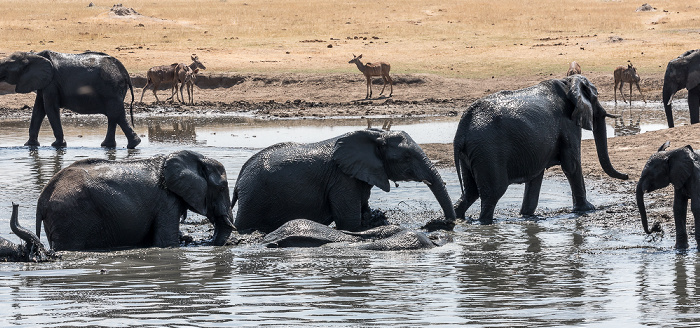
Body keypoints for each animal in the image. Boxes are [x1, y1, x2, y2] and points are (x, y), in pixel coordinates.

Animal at [0, 50, 141, 149]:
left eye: (6, 65)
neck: (33, 55)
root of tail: (125, 72)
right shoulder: (43, 82)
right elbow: (38, 109)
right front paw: (29, 145)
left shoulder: (52, 83)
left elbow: (49, 108)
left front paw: (57, 145)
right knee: (114, 116)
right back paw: (108, 145)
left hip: (111, 88)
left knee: (115, 114)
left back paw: (133, 144)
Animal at [37, 150, 234, 250]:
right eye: (222, 188)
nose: (206, 242)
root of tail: (42, 198)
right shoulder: (166, 200)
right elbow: (166, 243)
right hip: (70, 216)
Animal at [232, 127, 456, 233]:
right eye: (407, 157)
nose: (444, 222)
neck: (374, 135)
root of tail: (240, 176)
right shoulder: (341, 179)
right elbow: (350, 222)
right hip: (254, 198)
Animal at [454, 74, 628, 223]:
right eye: (596, 97)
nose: (626, 176)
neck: (568, 82)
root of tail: (462, 128)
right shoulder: (568, 124)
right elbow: (571, 165)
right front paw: (587, 209)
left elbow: (536, 176)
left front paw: (527, 215)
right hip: (488, 152)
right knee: (492, 194)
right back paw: (486, 223)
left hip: (474, 153)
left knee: (471, 192)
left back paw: (458, 218)